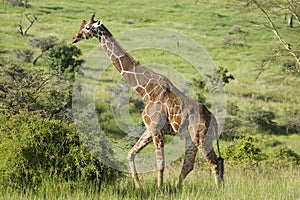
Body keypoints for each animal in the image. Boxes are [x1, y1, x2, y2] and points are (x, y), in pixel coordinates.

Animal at [72, 14, 223, 188]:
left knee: (213, 162)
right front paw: (139, 187)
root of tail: (215, 120)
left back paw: (217, 189)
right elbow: (130, 154)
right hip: (190, 139)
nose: (74, 38)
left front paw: (159, 189)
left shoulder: (156, 129)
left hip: (201, 137)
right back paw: (177, 188)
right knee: (190, 165)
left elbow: (160, 163)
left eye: (87, 27)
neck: (145, 91)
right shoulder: (149, 129)